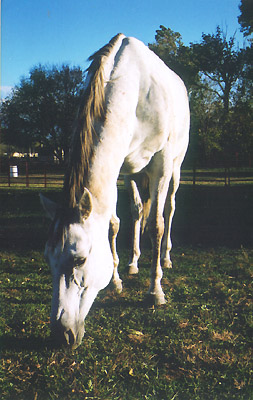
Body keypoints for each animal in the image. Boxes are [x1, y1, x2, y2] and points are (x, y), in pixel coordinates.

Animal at [40, 33, 189, 346]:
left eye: (79, 259)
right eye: (48, 259)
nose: (62, 335)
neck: (134, 90)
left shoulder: (161, 163)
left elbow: (156, 225)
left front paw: (155, 292)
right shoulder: (118, 168)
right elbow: (113, 224)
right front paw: (117, 280)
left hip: (176, 167)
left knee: (169, 209)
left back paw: (166, 258)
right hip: (134, 172)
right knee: (137, 211)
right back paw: (133, 263)